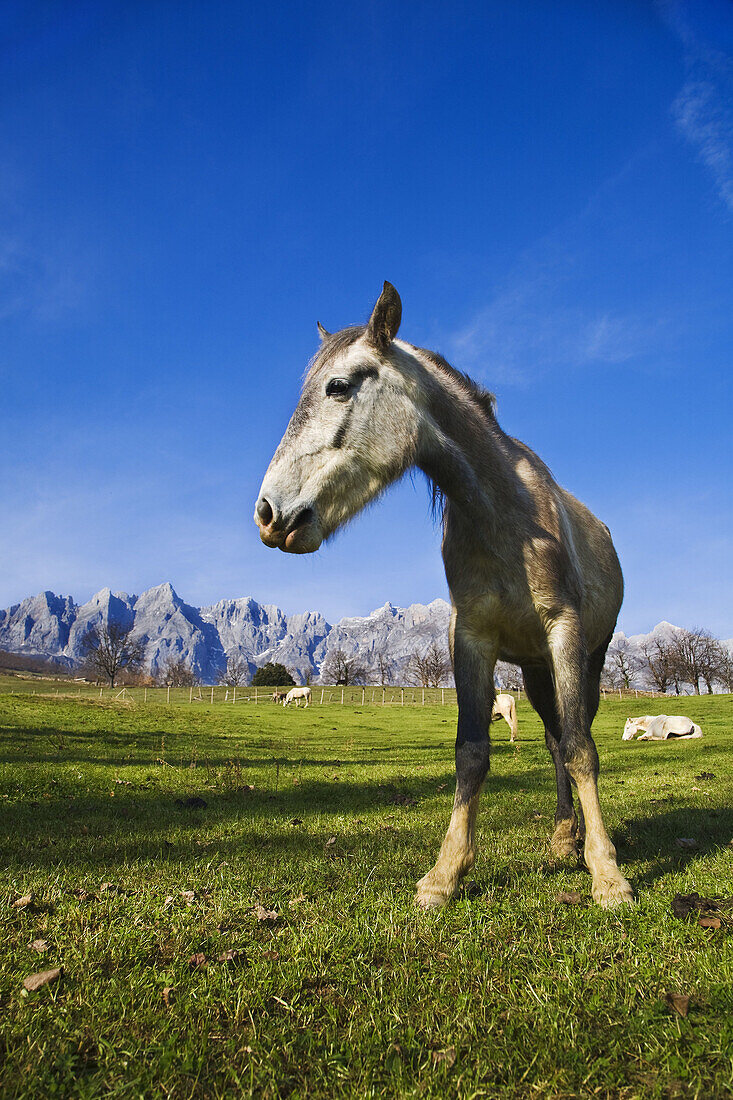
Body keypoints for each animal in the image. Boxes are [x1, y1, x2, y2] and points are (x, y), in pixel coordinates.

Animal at [254, 279, 629, 906]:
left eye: (338, 386)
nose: (268, 513)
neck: (504, 515)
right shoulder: (471, 638)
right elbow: (472, 752)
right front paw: (446, 873)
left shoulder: (566, 632)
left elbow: (583, 748)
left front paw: (608, 874)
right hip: (534, 669)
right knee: (551, 740)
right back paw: (561, 838)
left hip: (587, 659)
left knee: (571, 737)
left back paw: (579, 841)